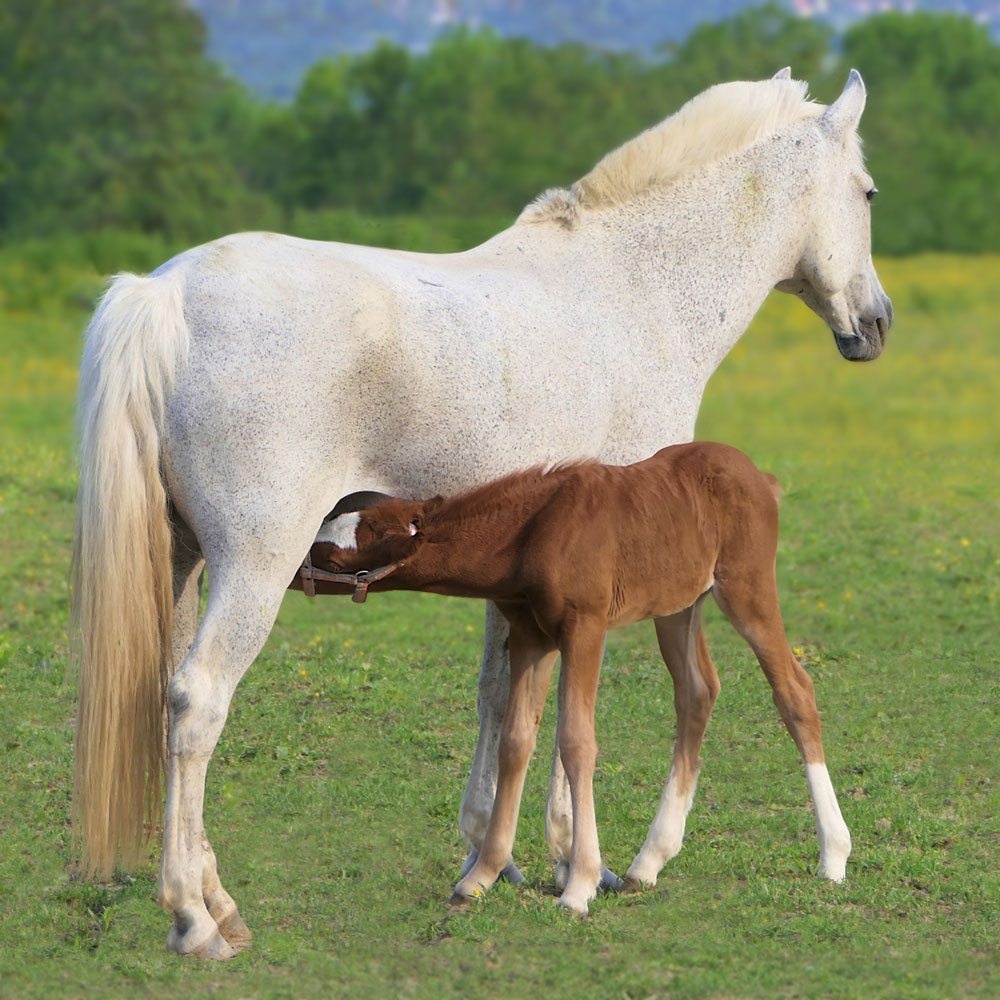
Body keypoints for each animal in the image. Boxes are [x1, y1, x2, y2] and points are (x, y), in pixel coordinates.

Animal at [302, 442, 852, 912]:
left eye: (332, 555)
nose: (294, 572)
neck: (531, 533)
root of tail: (760, 477)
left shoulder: (585, 627)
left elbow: (576, 740)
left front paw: (579, 885)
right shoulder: (531, 635)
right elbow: (516, 739)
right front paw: (482, 875)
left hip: (746, 586)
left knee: (793, 690)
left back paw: (833, 857)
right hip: (677, 605)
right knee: (697, 692)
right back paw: (648, 862)